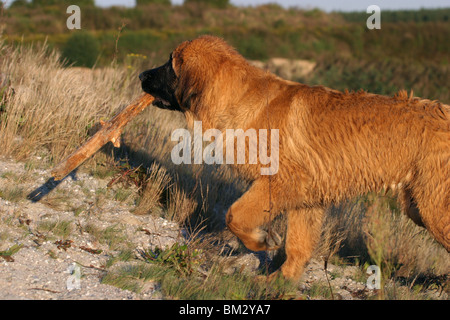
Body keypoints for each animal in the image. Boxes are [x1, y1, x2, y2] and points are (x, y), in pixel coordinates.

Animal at [139, 35, 448, 280]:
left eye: (170, 63)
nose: (141, 76)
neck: (238, 98)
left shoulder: (280, 182)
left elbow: (235, 215)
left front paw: (262, 242)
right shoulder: (307, 200)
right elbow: (297, 246)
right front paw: (279, 282)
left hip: (432, 208)